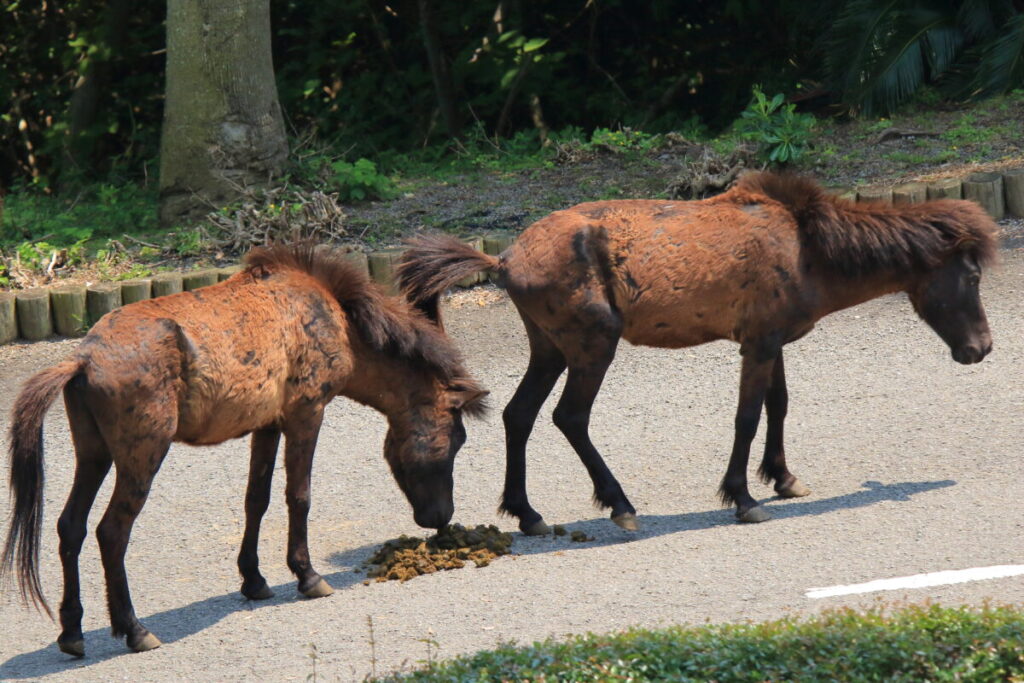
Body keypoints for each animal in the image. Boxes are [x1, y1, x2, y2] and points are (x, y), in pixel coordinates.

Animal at [1, 243, 487, 657]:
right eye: (456, 438)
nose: (440, 517)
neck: (336, 318)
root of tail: (81, 360)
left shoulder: (267, 425)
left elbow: (257, 498)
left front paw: (253, 579)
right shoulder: (306, 415)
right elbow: (298, 496)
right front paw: (307, 575)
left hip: (94, 456)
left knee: (71, 527)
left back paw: (72, 632)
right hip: (141, 458)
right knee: (111, 533)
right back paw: (134, 629)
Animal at [397, 171, 997, 536]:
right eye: (970, 275)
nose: (981, 348)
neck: (806, 248)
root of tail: (500, 261)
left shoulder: (769, 341)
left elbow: (779, 406)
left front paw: (782, 478)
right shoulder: (759, 345)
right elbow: (747, 417)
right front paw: (743, 497)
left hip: (549, 350)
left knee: (518, 415)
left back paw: (527, 514)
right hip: (592, 345)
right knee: (569, 417)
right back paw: (620, 505)